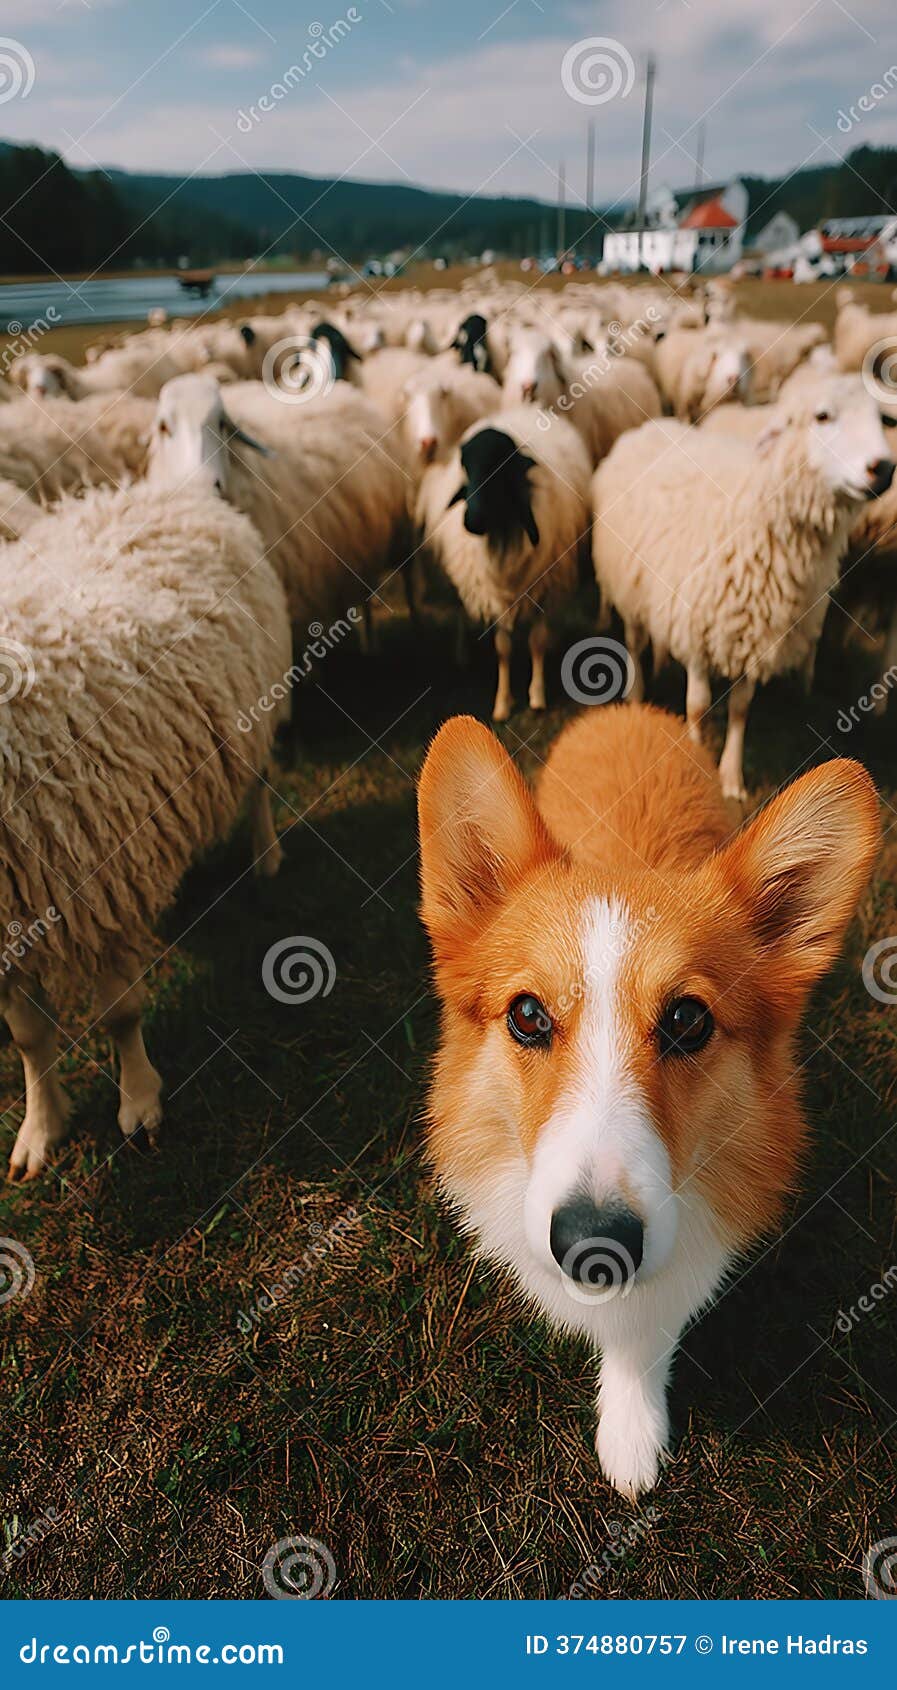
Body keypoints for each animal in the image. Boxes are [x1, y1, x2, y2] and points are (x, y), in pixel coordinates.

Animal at [0, 481, 291, 1178]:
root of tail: (150, 491)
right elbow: (27, 1035)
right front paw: (40, 1130)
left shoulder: (108, 880)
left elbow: (120, 1011)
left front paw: (139, 1103)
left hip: (257, 704)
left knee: (259, 785)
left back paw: (266, 856)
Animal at [415, 405, 592, 719]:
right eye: (466, 467)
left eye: (500, 466)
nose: (471, 520)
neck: (503, 532)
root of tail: (525, 409)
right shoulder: (491, 590)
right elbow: (503, 647)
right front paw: (502, 703)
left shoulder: (545, 584)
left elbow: (537, 641)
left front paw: (537, 695)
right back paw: (461, 654)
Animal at [592, 376, 894, 799]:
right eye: (822, 416)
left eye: (880, 418)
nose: (883, 468)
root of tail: (651, 425)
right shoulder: (698, 626)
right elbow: (698, 706)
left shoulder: (759, 631)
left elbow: (741, 707)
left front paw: (732, 778)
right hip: (627, 581)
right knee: (634, 641)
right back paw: (635, 696)